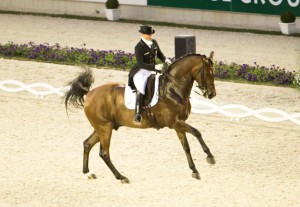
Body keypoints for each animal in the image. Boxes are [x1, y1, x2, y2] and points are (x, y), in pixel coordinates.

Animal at [64, 51, 217, 183]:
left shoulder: (178, 124)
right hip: (104, 128)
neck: (173, 89)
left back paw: (88, 173)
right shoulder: (174, 122)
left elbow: (186, 147)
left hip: (103, 127)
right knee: (104, 153)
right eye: (208, 73)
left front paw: (194, 170)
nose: (211, 94)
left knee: (87, 144)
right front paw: (210, 157)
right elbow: (197, 132)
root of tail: (89, 93)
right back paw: (121, 177)